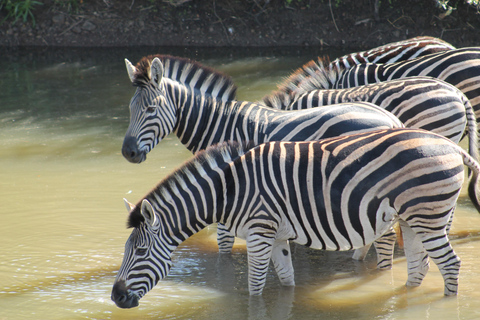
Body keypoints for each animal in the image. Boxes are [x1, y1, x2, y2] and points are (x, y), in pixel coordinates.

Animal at [110, 127, 480, 308]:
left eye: (139, 253)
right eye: (126, 251)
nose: (115, 297)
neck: (230, 189)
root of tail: (451, 145)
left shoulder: (259, 232)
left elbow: (255, 287)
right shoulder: (275, 236)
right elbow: (286, 281)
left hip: (427, 216)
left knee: (450, 265)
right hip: (411, 219)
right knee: (419, 268)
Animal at [121, 55, 404, 268]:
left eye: (151, 110)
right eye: (130, 109)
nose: (128, 153)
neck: (220, 124)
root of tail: (392, 120)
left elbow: (225, 245)